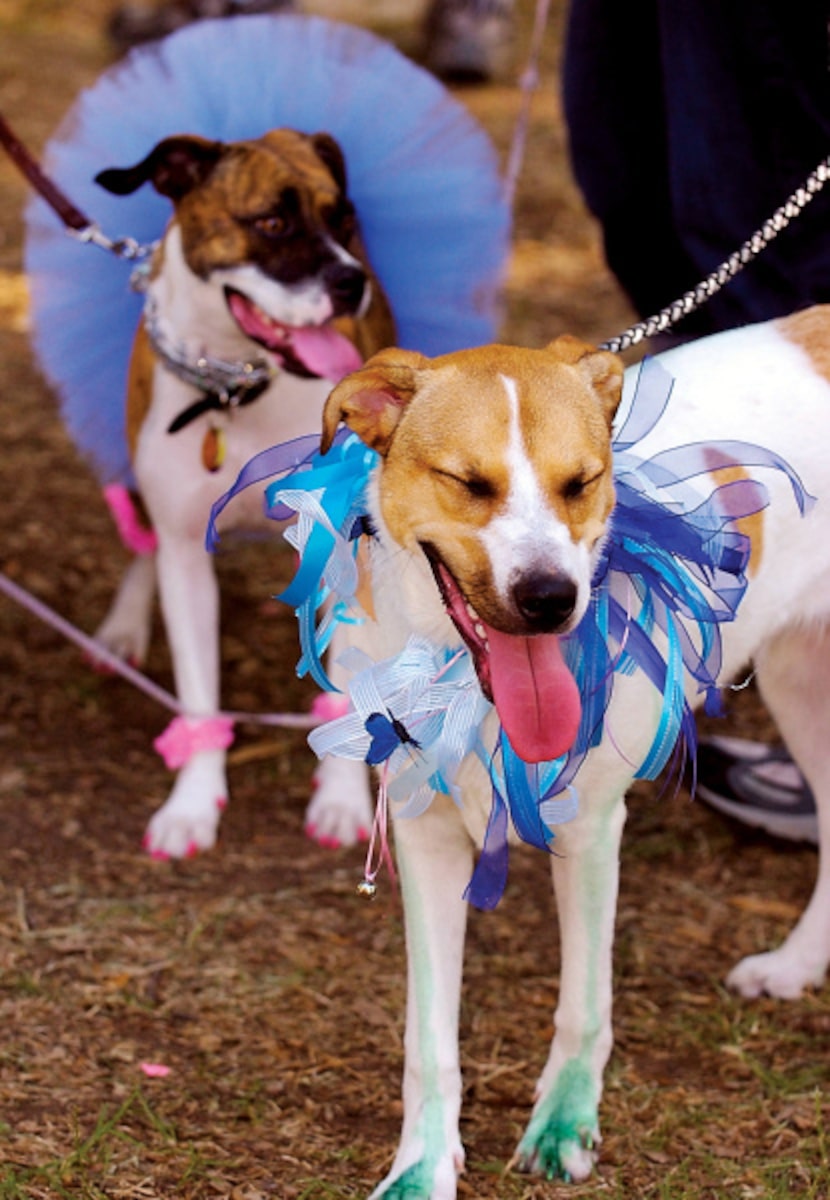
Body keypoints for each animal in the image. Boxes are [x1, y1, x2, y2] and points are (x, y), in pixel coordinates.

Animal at [92, 126, 391, 859]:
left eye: (343, 217)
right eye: (272, 223)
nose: (352, 281)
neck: (235, 387)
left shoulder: (341, 550)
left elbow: (344, 690)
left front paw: (340, 800)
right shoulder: (184, 554)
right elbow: (200, 692)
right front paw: (192, 806)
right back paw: (121, 629)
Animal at [321, 307, 830, 1190]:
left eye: (581, 482)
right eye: (470, 483)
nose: (552, 599)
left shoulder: (591, 831)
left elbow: (583, 1005)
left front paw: (563, 1123)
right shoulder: (426, 833)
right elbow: (429, 1037)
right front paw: (424, 1165)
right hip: (799, 679)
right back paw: (797, 965)